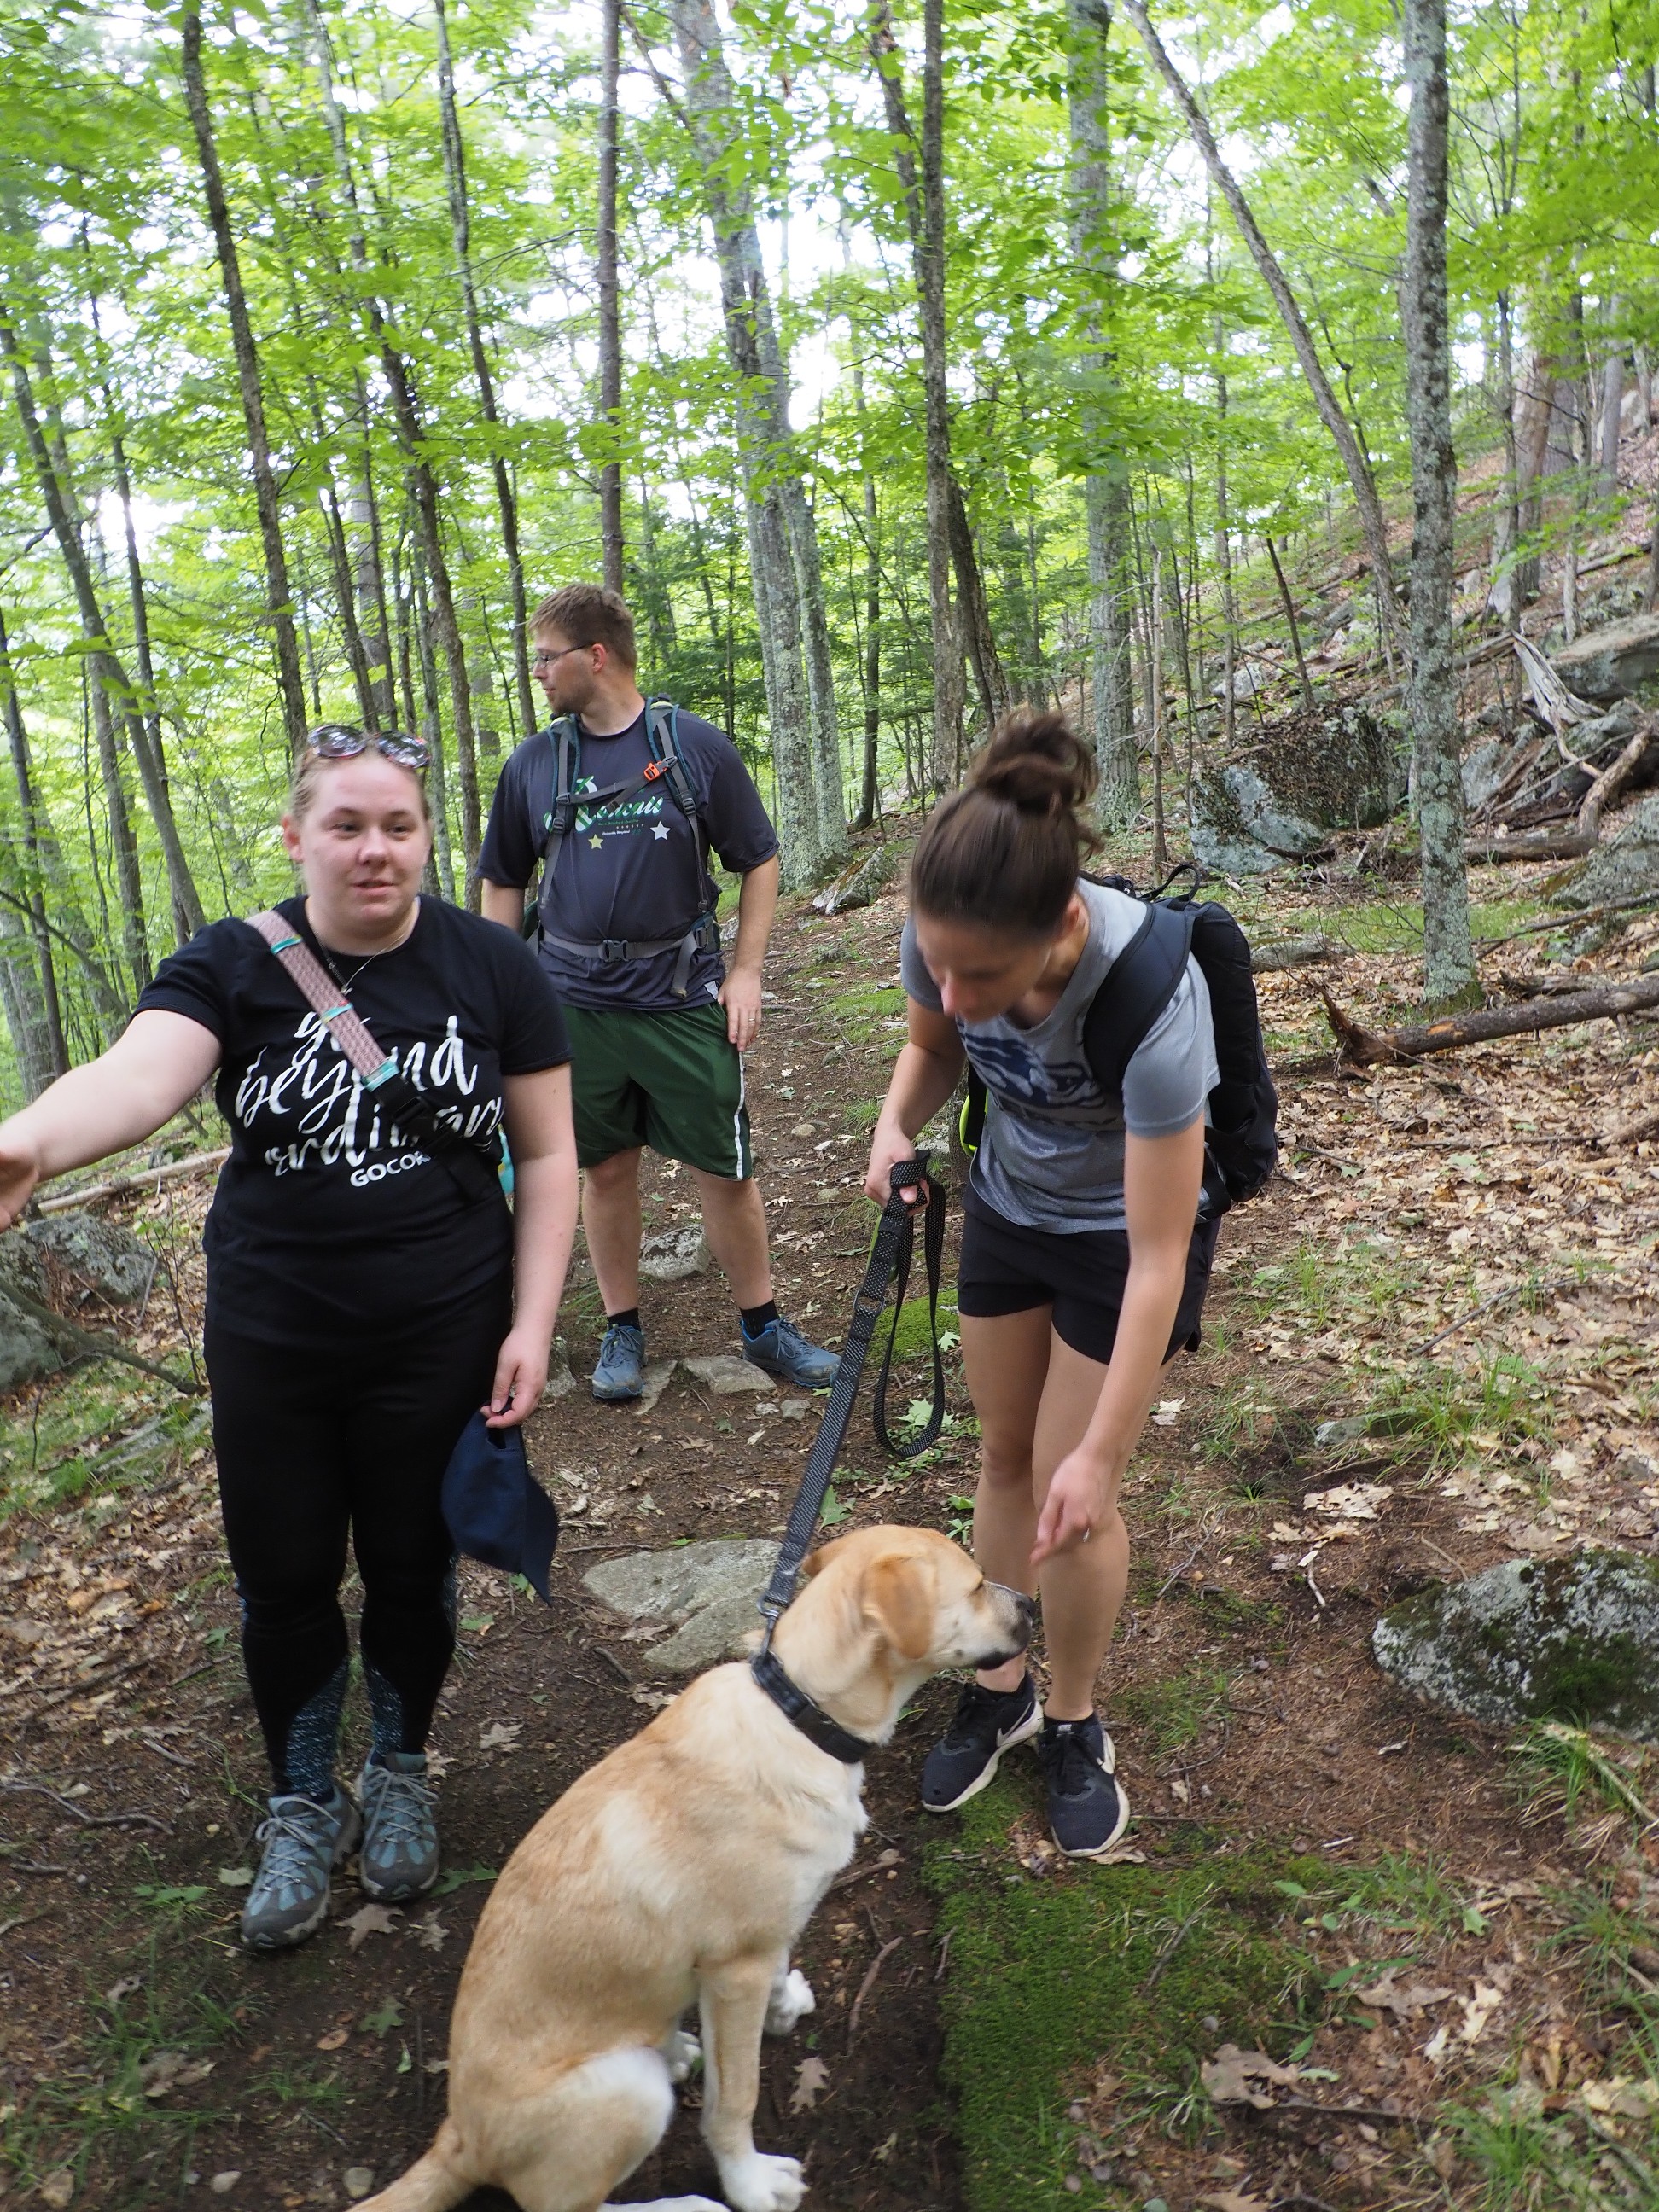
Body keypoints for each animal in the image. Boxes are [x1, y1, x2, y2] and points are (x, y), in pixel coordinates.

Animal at [358, 1523, 1032, 2212]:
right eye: (978, 1585)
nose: (1032, 1605)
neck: (799, 1717)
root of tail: (459, 2138)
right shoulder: (736, 1968)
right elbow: (735, 2103)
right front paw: (750, 2184)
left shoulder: (763, 1944)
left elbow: (776, 1980)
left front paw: (783, 2008)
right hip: (627, 2089)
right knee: (569, 2205)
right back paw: (687, 2202)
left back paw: (678, 2044)